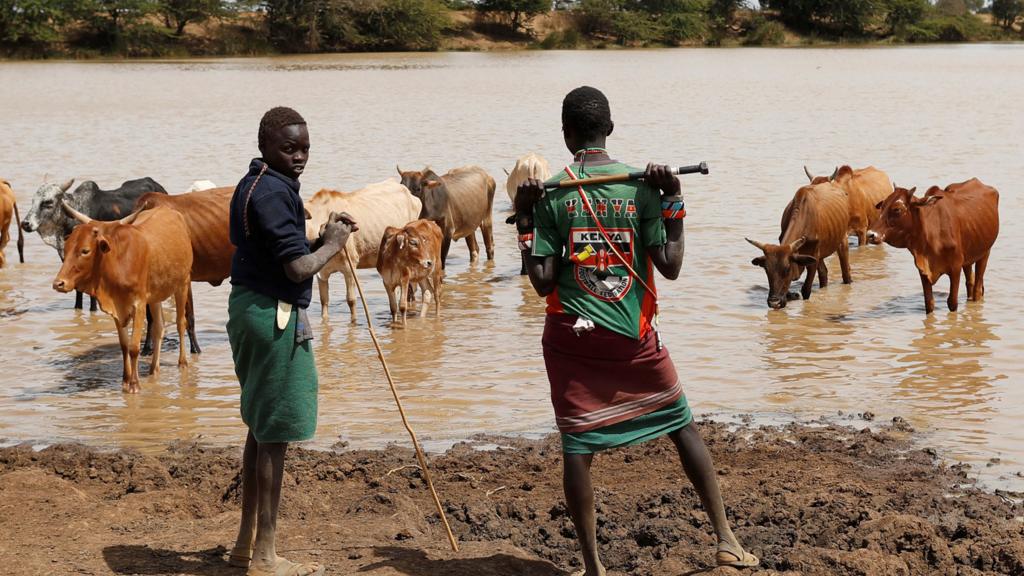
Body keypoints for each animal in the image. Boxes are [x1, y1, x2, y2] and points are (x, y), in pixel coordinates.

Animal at [52, 201, 193, 389]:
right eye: (66, 249)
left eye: (85, 251)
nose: (58, 283)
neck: (117, 262)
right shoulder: (117, 307)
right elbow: (125, 345)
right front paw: (125, 380)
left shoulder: (139, 305)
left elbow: (134, 347)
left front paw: (134, 384)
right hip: (155, 295)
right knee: (159, 327)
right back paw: (153, 370)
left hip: (182, 283)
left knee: (180, 323)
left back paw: (182, 363)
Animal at [749, 181, 851, 309]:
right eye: (766, 269)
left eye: (787, 269)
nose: (774, 302)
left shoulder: (813, 258)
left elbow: (806, 290)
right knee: (824, 274)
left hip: (842, 241)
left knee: (845, 272)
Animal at [864, 179, 999, 313]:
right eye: (882, 206)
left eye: (897, 209)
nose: (870, 235)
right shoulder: (923, 270)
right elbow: (929, 303)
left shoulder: (955, 268)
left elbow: (952, 302)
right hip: (968, 258)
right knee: (970, 283)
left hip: (985, 252)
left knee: (977, 288)